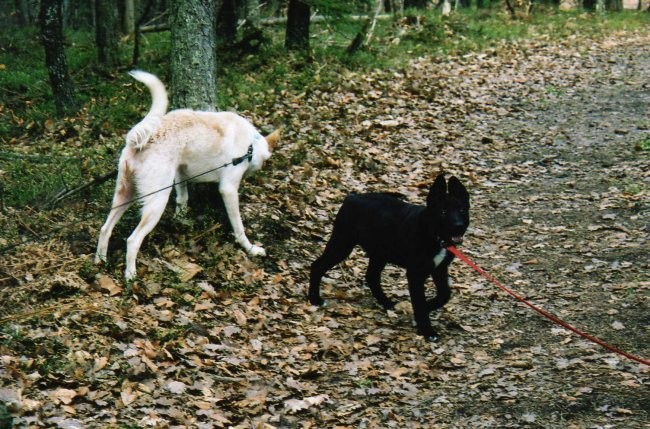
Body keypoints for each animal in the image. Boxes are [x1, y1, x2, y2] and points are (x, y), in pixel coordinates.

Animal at [96, 70, 278, 280]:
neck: (251, 144)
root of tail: (141, 140)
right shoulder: (229, 189)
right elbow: (239, 227)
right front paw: (250, 248)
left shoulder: (181, 174)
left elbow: (182, 199)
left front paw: (181, 221)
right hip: (157, 201)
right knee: (132, 240)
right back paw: (130, 276)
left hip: (125, 195)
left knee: (105, 229)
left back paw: (100, 262)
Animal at [308, 174, 466, 342]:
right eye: (443, 211)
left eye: (462, 210)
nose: (459, 226)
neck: (433, 235)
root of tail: (351, 197)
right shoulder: (415, 274)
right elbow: (420, 302)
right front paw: (427, 330)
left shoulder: (439, 268)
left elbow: (444, 295)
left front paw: (427, 307)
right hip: (342, 244)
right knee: (317, 266)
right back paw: (314, 299)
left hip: (379, 254)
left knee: (371, 277)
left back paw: (385, 301)